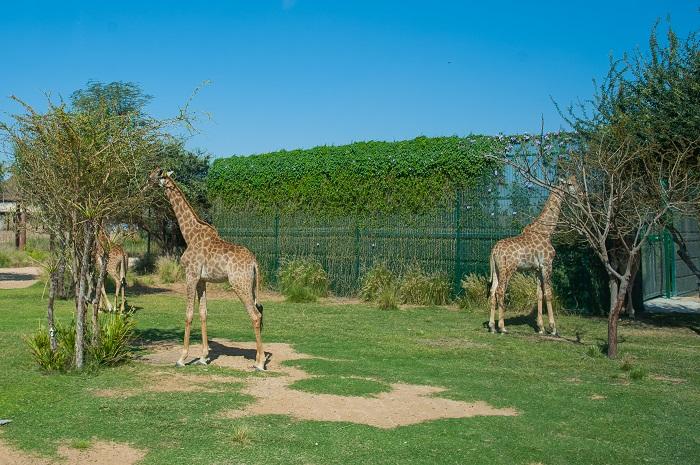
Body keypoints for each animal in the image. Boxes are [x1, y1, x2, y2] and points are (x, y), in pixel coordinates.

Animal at [149, 169, 266, 368]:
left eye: (156, 175)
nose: (146, 181)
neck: (189, 234)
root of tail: (254, 262)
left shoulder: (190, 275)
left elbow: (188, 314)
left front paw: (182, 358)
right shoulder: (202, 280)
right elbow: (203, 313)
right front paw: (203, 357)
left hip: (239, 284)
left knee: (255, 315)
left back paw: (259, 363)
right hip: (250, 285)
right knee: (259, 312)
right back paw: (260, 358)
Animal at [486, 177, 576, 334]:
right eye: (570, 184)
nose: (581, 194)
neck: (546, 232)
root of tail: (494, 251)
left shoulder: (537, 269)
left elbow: (539, 294)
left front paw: (540, 328)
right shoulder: (547, 265)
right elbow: (548, 293)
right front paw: (553, 328)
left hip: (497, 270)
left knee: (492, 291)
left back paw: (492, 326)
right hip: (508, 269)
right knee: (500, 291)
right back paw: (502, 327)